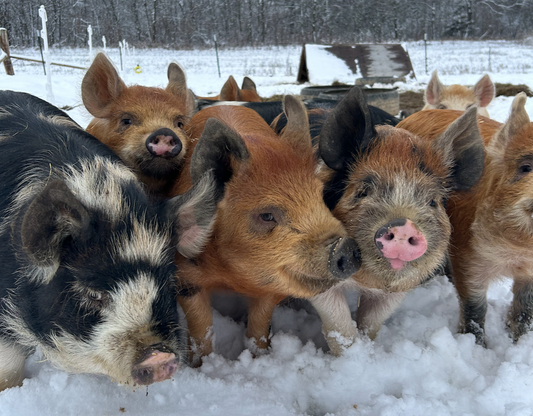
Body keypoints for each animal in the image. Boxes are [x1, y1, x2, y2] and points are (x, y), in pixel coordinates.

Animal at [172, 96, 360, 362]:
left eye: (320, 197)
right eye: (267, 215)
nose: (345, 247)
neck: (232, 276)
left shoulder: (271, 287)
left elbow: (259, 327)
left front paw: (258, 357)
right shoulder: (185, 277)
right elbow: (201, 330)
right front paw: (201, 364)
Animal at [306, 87, 484, 354]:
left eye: (433, 201)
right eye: (363, 191)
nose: (404, 226)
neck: (364, 281)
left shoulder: (399, 289)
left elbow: (371, 322)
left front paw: (368, 348)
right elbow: (339, 328)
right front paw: (350, 357)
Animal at [394, 94, 532, 344]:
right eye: (525, 167)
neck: (518, 251)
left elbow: (525, 307)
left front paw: (520, 340)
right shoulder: (468, 254)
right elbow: (474, 305)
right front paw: (475, 344)